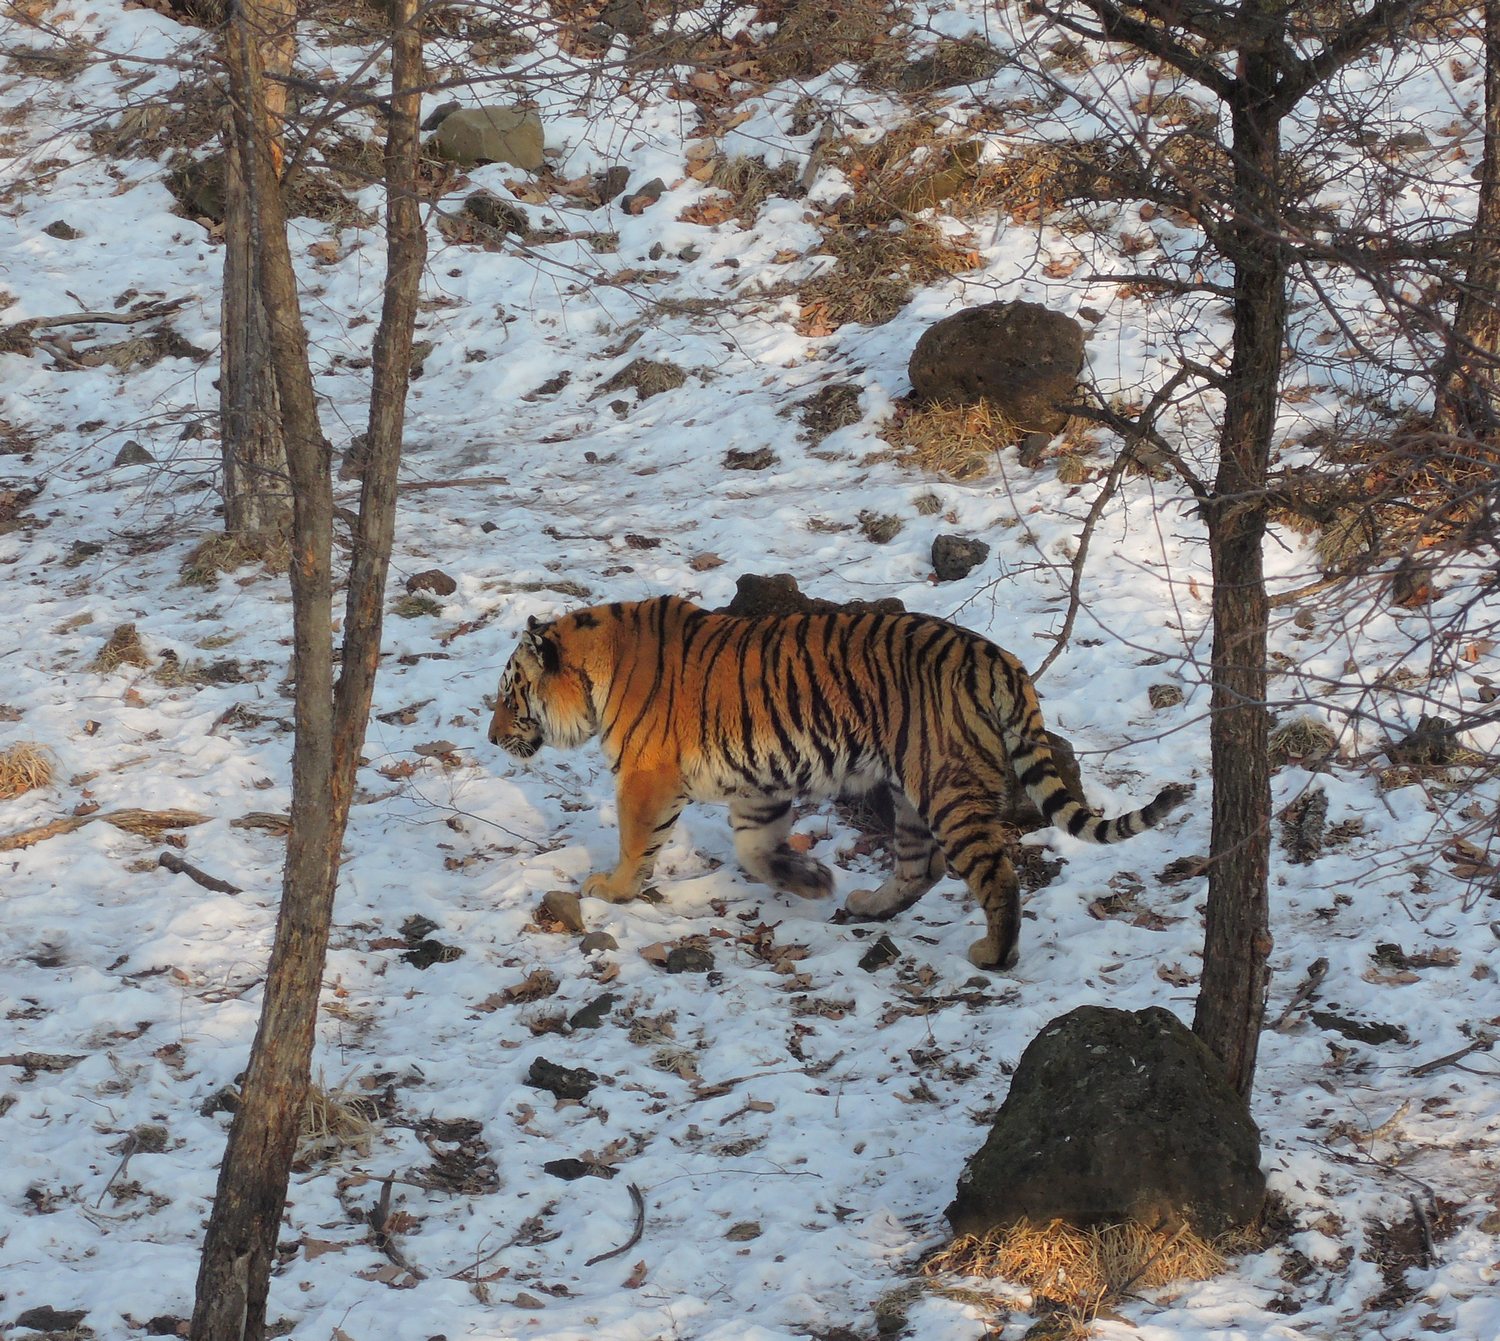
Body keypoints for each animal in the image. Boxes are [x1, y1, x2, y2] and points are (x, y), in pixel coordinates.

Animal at [486, 597, 1188, 966]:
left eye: (509, 695)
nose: (491, 738)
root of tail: (1001, 658)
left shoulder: (646, 776)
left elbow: (637, 841)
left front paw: (611, 889)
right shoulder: (759, 785)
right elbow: (754, 848)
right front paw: (810, 881)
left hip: (946, 787)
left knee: (996, 872)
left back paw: (993, 952)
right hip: (911, 790)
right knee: (921, 866)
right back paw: (869, 904)